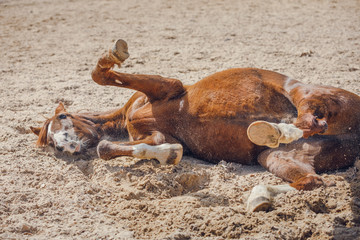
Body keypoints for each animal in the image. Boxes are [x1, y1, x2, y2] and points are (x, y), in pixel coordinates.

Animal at [30, 39, 360, 212]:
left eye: (62, 118)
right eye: (52, 145)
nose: (66, 146)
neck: (129, 117)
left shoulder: (167, 88)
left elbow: (101, 77)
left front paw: (113, 55)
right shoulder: (157, 135)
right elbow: (111, 148)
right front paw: (169, 154)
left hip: (305, 94)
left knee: (308, 118)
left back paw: (278, 128)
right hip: (278, 157)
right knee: (311, 181)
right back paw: (260, 193)